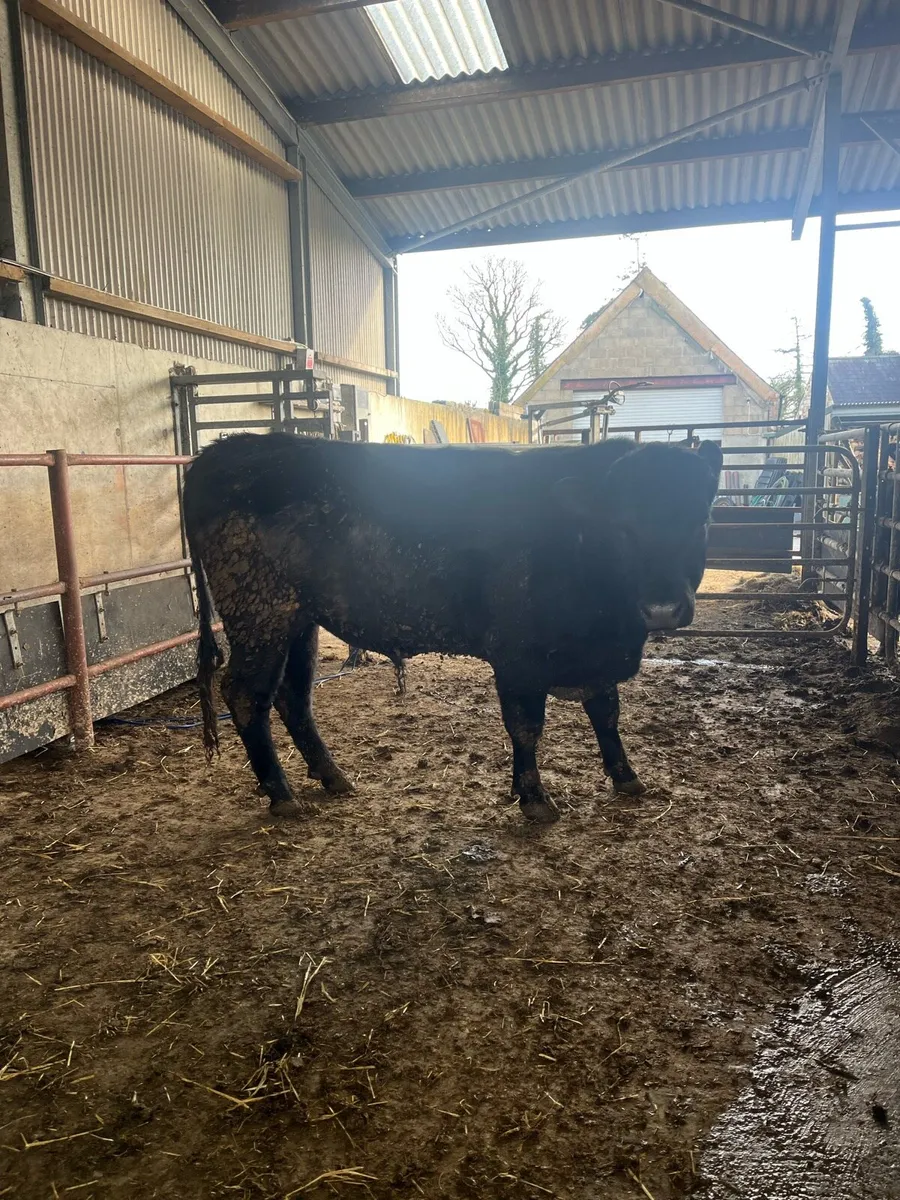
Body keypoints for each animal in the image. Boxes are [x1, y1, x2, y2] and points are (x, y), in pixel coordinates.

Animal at [183, 433, 721, 823]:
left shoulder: (597, 655)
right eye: (623, 529)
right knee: (246, 694)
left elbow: (606, 713)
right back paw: (281, 794)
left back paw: (333, 776)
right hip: (261, 614)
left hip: (300, 620)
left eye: (701, 521)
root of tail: (222, 451)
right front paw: (534, 798)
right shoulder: (517, 655)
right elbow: (526, 725)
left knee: (293, 696)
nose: (662, 609)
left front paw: (626, 776)